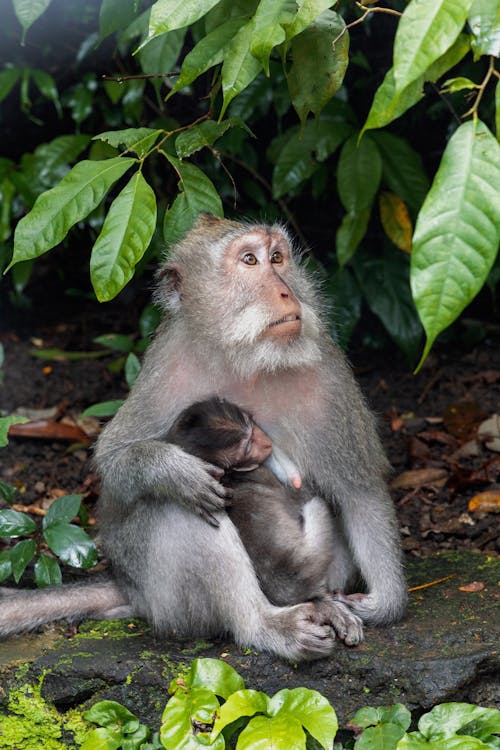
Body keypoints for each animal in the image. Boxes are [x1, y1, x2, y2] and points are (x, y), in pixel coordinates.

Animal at [168, 396, 352, 620]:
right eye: (247, 447)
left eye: (250, 422)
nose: (266, 442)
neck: (231, 477)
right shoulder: (262, 474)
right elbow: (298, 496)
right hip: (314, 551)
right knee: (315, 504)